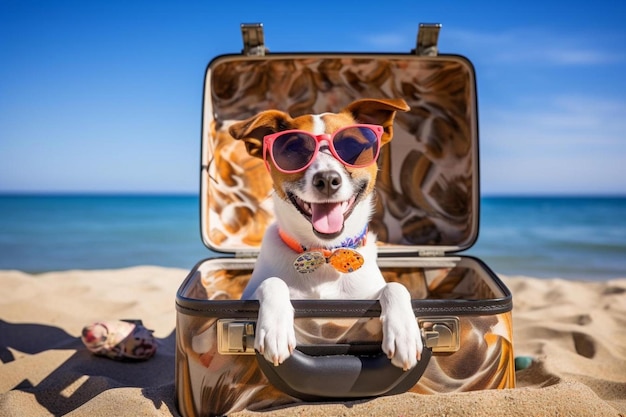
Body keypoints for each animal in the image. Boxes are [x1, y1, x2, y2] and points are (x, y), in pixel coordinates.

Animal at [227, 98, 422, 370]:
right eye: (294, 151)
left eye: (351, 146)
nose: (327, 179)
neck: (325, 253)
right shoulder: (250, 292)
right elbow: (273, 282)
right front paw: (275, 329)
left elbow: (395, 286)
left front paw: (405, 333)